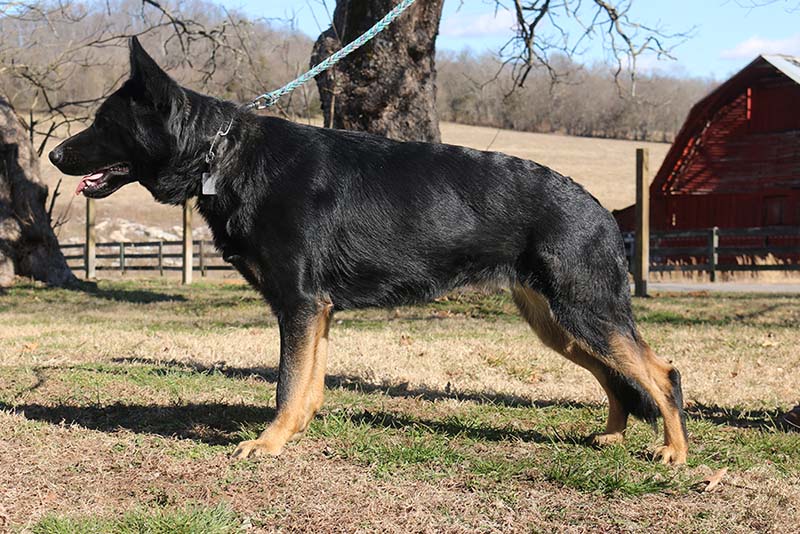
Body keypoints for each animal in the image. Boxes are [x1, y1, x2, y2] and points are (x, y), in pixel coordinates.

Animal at [49, 37, 688, 463]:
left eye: (102, 121)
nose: (53, 157)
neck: (220, 155)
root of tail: (601, 210)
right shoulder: (318, 311)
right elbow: (307, 385)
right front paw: (294, 434)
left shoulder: (301, 306)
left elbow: (286, 384)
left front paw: (269, 444)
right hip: (560, 325)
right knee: (618, 377)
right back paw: (613, 435)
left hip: (585, 314)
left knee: (662, 372)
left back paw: (674, 454)